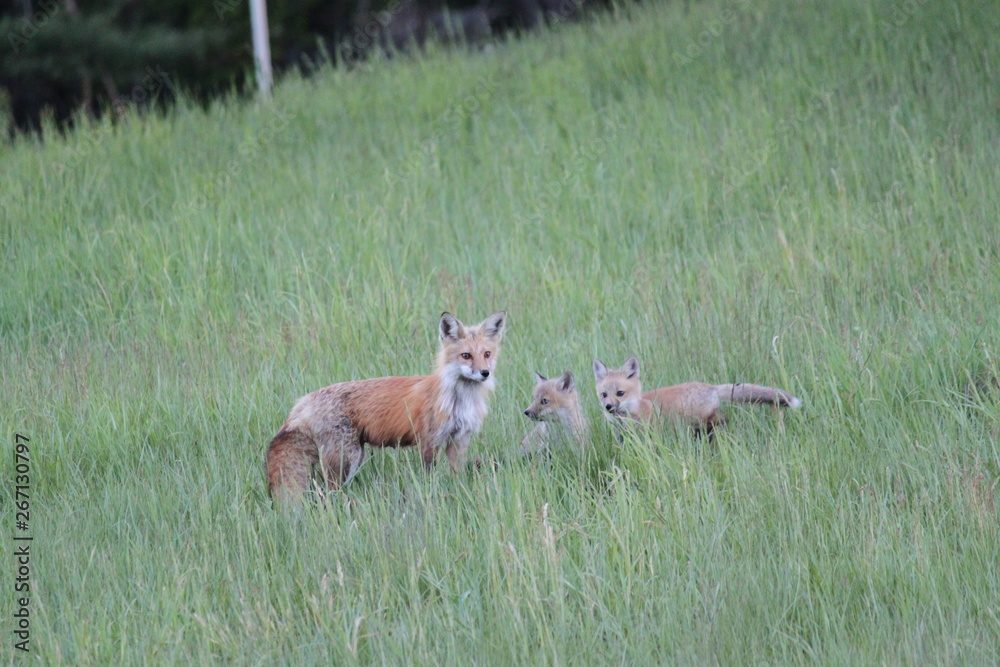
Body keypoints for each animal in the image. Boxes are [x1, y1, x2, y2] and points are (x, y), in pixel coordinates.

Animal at [266, 310, 506, 503]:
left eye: (486, 354)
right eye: (466, 356)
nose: (485, 373)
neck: (459, 400)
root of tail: (303, 400)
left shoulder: (459, 440)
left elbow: (457, 475)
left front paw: (460, 491)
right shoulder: (430, 441)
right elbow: (429, 478)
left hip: (352, 457)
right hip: (345, 459)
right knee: (326, 493)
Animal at [593, 356, 801, 438]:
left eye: (620, 393)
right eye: (604, 395)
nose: (608, 407)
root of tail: (710, 387)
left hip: (700, 418)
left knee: (721, 420)